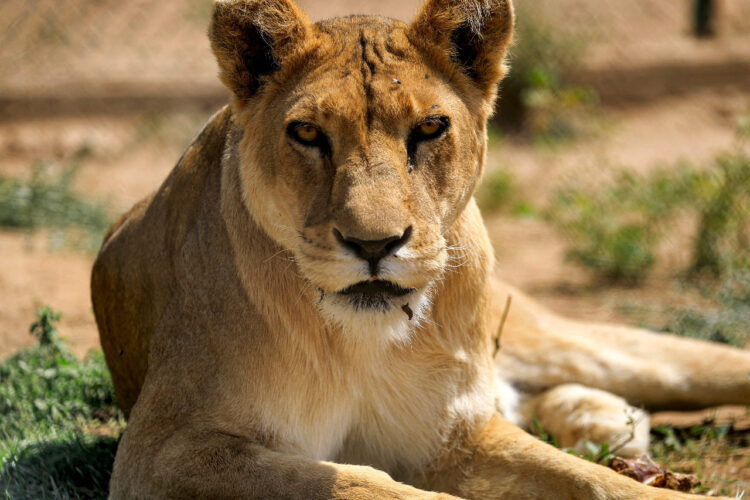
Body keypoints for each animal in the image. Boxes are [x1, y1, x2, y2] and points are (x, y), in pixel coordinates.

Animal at [90, 0, 750, 498]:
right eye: (306, 133)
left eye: (430, 129)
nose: (373, 243)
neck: (358, 343)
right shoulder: (166, 451)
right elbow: (360, 483)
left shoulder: (457, 438)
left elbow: (595, 482)